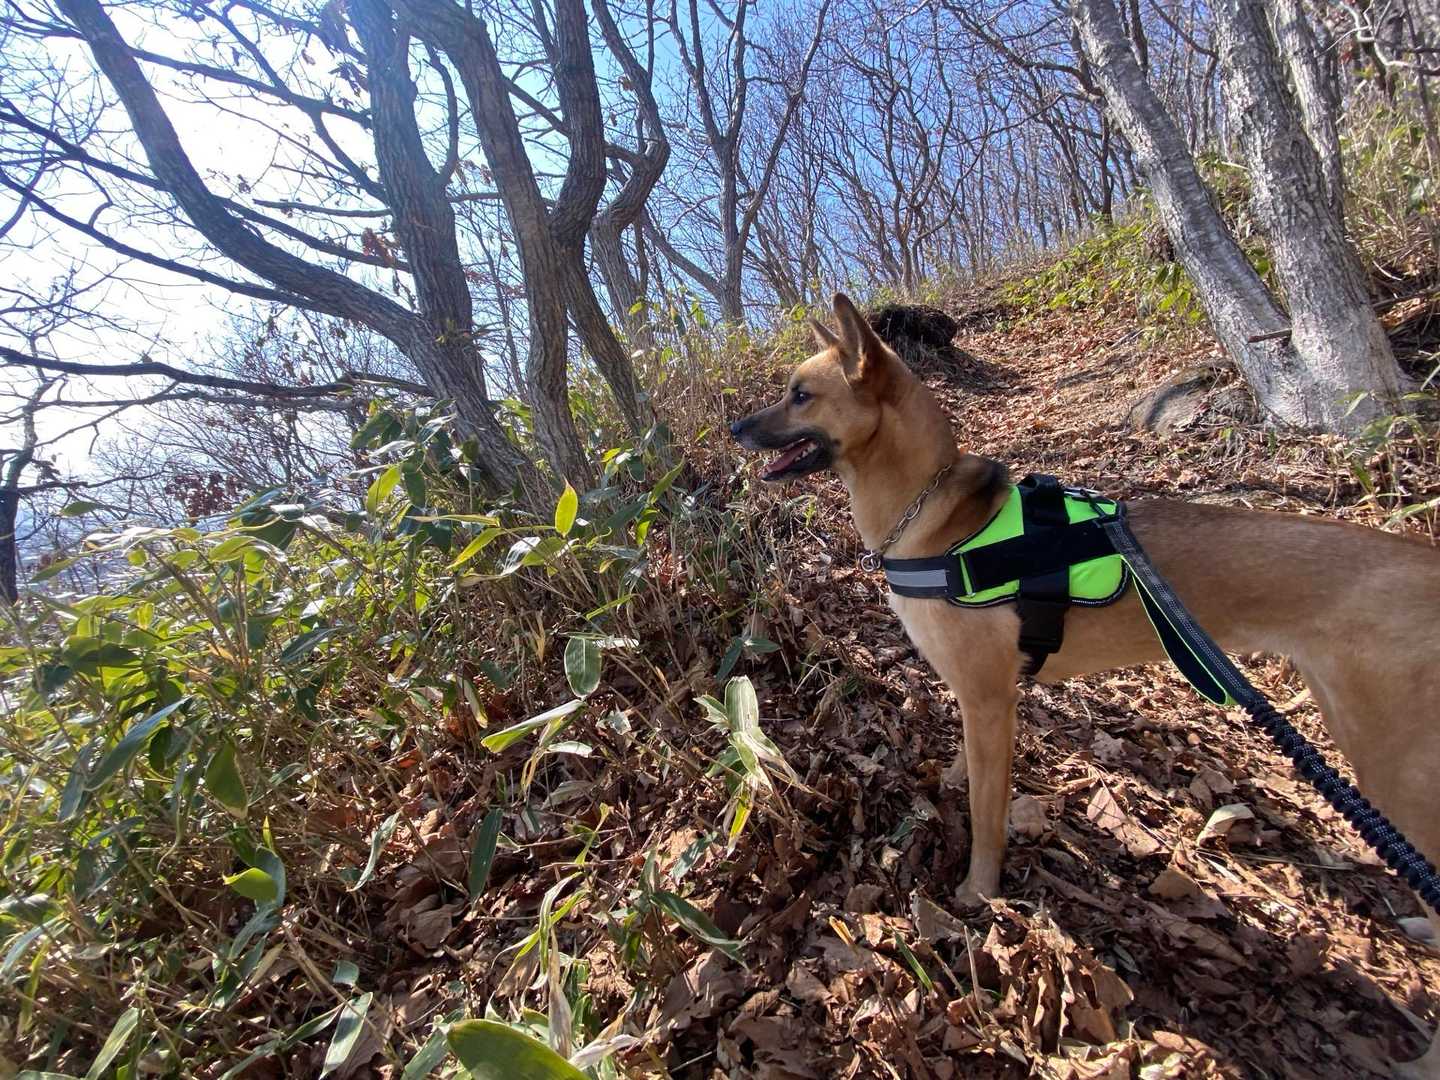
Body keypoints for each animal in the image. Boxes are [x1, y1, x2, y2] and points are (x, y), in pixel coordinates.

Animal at [730, 293, 1440, 1077]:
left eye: (800, 394)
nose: (734, 428)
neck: (934, 515)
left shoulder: (990, 701)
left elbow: (986, 814)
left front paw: (979, 893)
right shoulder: (985, 703)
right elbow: (968, 768)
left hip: (1393, 768)